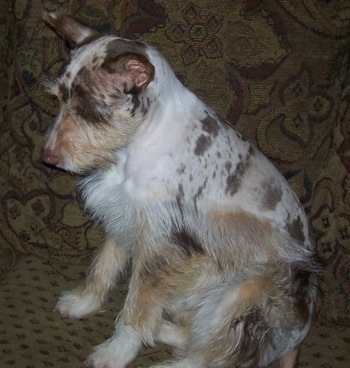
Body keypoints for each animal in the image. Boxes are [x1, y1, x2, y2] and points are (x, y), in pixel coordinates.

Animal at [41, 12, 320, 368]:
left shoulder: (163, 247)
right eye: (58, 99)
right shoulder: (124, 215)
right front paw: (83, 303)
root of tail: (295, 342)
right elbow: (104, 267)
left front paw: (116, 352)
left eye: (89, 110)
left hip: (246, 294)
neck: (133, 148)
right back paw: (162, 328)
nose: (47, 157)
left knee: (216, 356)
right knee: (197, 338)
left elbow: (136, 305)